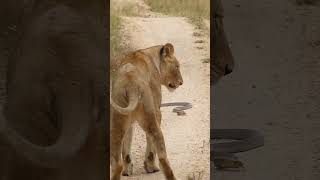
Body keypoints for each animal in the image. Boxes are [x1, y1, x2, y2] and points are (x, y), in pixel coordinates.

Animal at [110, 42, 182, 180]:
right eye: (177, 66)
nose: (181, 82)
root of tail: (131, 85)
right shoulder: (157, 111)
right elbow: (150, 144)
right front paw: (150, 167)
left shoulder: (129, 122)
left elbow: (127, 144)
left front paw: (127, 170)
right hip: (150, 115)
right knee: (162, 156)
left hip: (118, 120)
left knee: (117, 162)